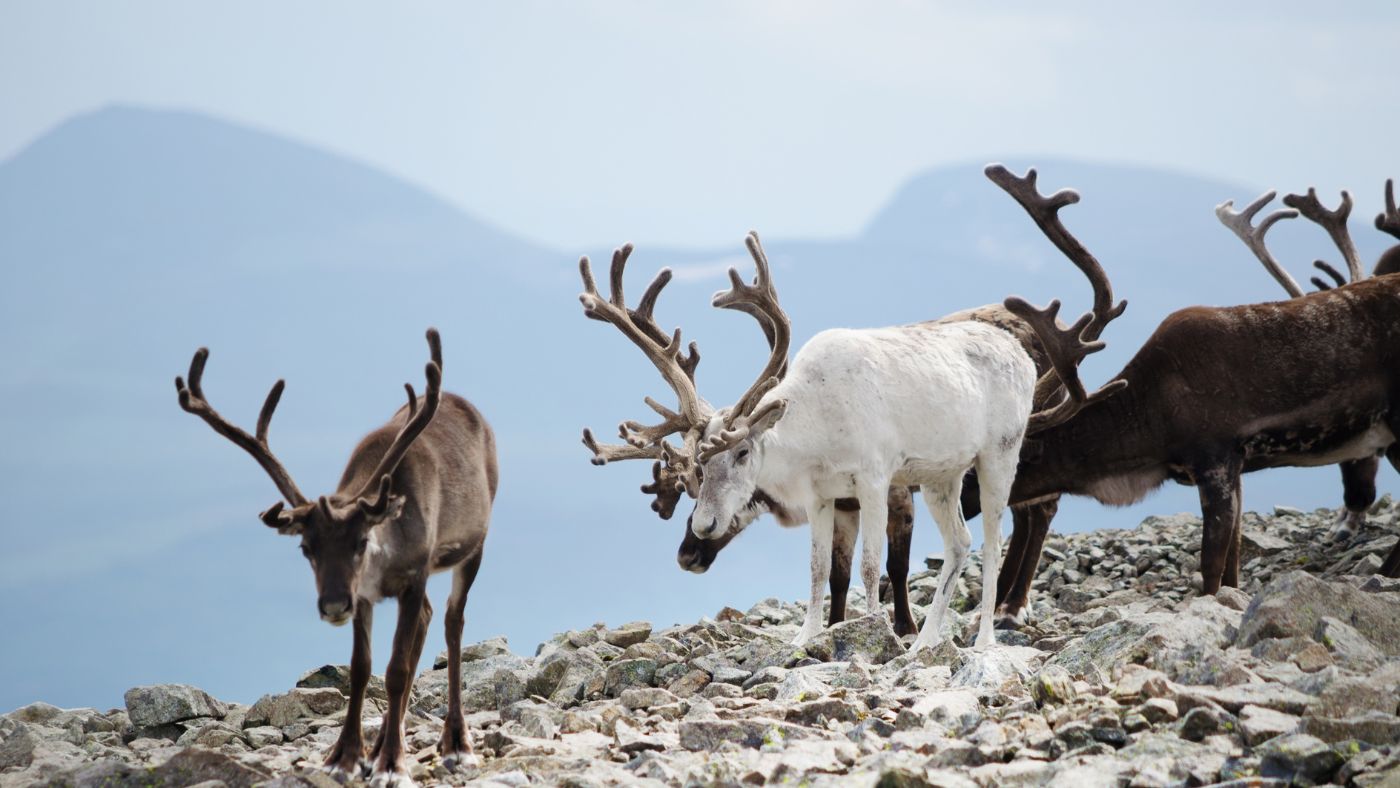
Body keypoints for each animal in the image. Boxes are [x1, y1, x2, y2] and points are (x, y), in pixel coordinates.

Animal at [174, 329, 498, 781]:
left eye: (360, 542)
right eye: (306, 547)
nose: (331, 605)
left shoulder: (414, 574)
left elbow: (396, 670)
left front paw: (391, 764)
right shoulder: (363, 595)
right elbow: (361, 669)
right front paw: (346, 756)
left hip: (473, 547)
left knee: (453, 623)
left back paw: (456, 743)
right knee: (429, 618)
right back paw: (384, 742)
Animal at [960, 184, 1400, 612]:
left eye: (972, 470)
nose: (958, 512)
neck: (1151, 415)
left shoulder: (1215, 459)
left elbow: (1211, 564)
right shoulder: (1236, 468)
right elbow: (1233, 560)